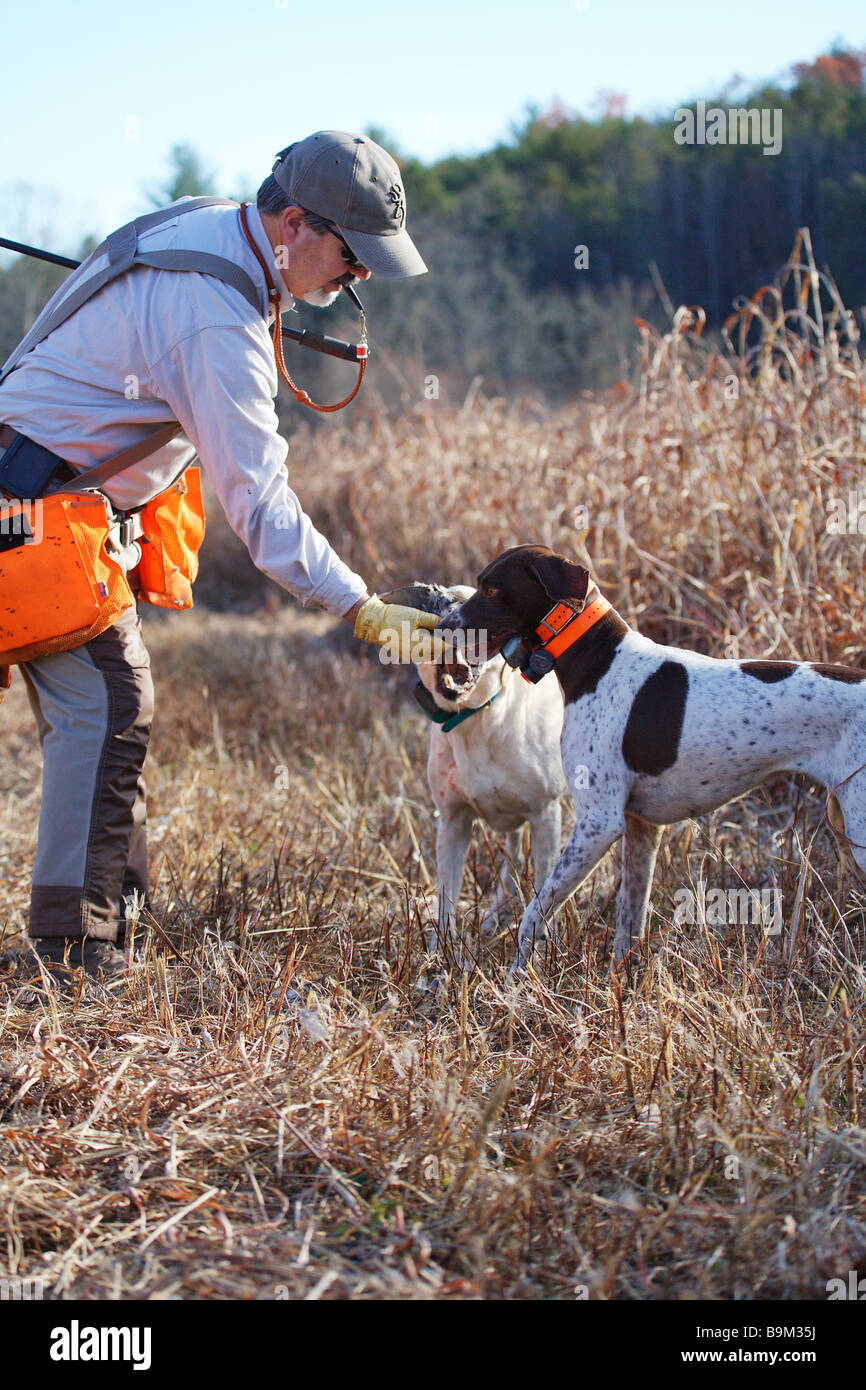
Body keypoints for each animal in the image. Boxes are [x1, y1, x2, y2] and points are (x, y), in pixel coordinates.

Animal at [444, 547, 866, 973]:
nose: (445, 626)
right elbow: (629, 924)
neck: (599, 659)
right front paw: (619, 981)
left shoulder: (600, 823)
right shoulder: (641, 827)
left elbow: (536, 909)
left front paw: (518, 973)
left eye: (491, 589)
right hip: (845, 828)